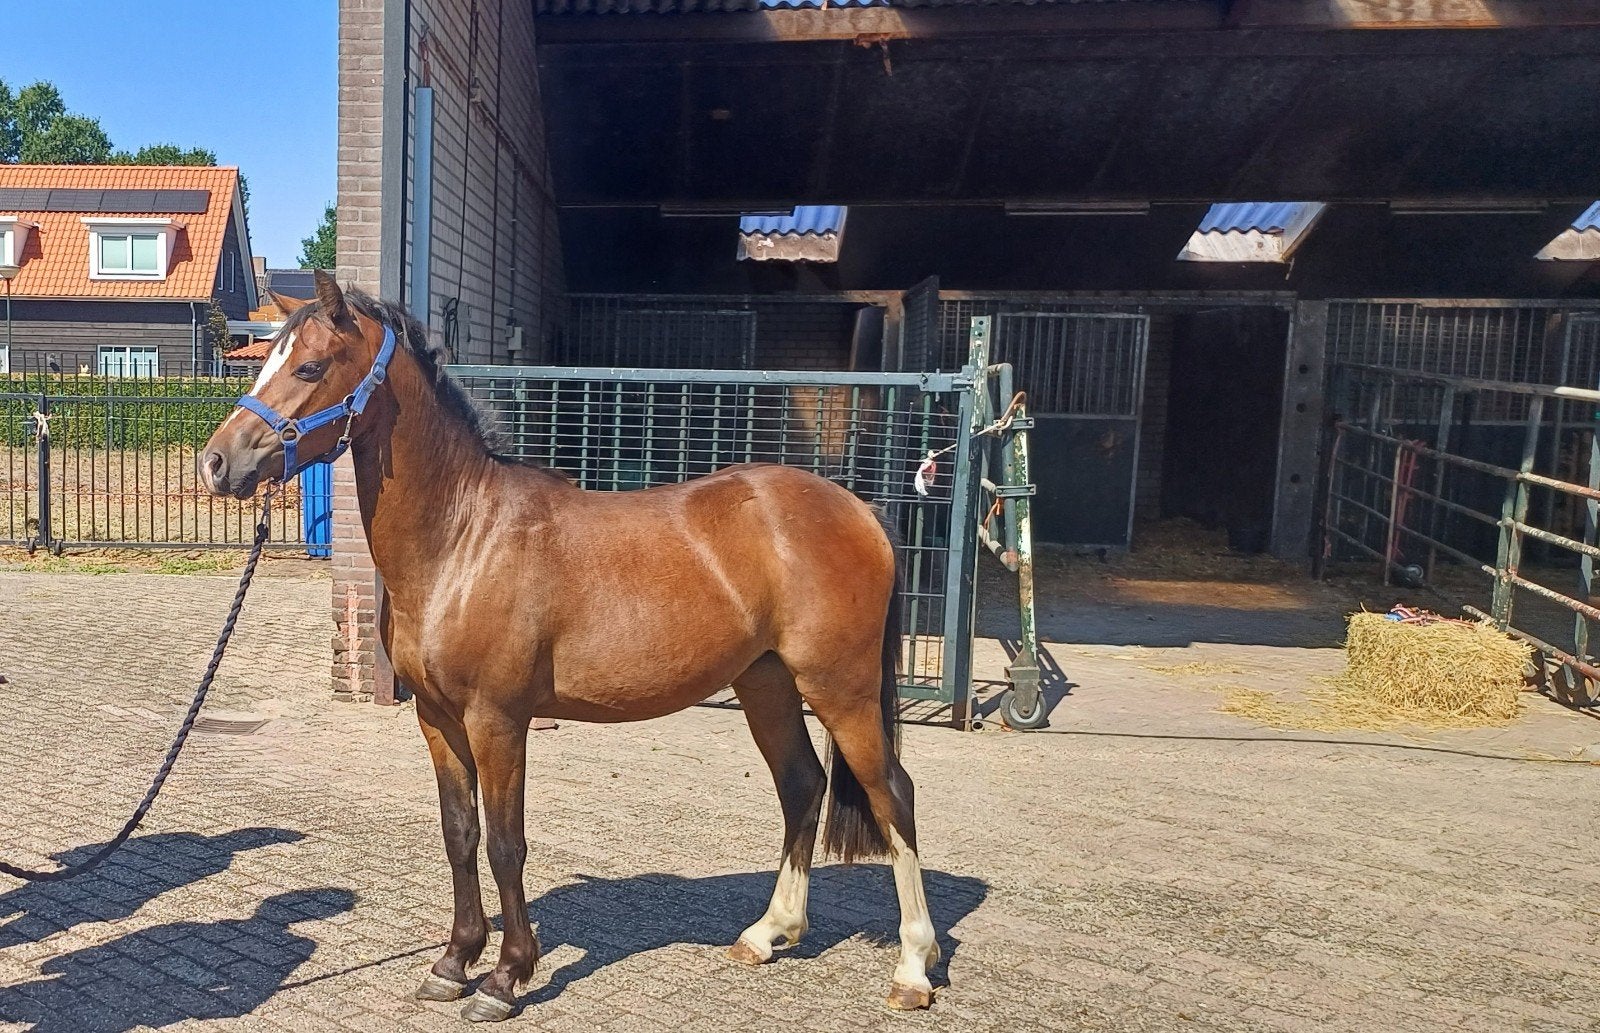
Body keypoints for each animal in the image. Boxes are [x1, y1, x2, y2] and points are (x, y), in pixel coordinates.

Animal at [199, 272, 939, 1023]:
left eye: (310, 367)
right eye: (263, 361)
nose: (217, 462)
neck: (463, 537)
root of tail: (859, 509)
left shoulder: (497, 721)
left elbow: (506, 844)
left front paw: (505, 977)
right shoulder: (436, 719)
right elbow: (460, 834)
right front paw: (453, 961)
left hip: (840, 689)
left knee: (894, 796)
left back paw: (913, 968)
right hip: (767, 683)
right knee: (801, 785)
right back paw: (768, 933)